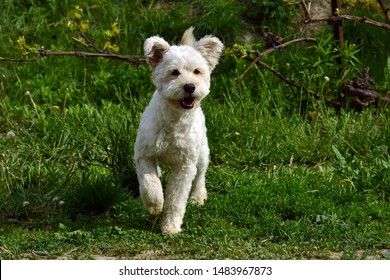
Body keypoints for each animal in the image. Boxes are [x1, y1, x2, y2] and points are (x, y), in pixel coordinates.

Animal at [134, 27, 224, 234]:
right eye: (174, 72)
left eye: (197, 71)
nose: (190, 86)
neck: (174, 122)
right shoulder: (144, 155)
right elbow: (149, 183)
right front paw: (155, 205)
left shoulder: (185, 166)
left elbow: (176, 199)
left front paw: (170, 226)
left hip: (202, 154)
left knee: (200, 177)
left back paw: (198, 197)